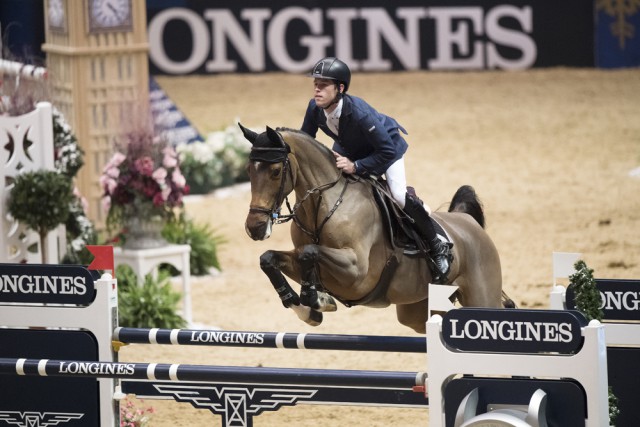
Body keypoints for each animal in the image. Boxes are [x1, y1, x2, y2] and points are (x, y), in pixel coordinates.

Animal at [238, 123, 508, 334]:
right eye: (248, 171)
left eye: (275, 172)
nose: (255, 227)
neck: (324, 204)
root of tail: (467, 220)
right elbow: (269, 258)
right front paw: (306, 308)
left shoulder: (356, 272)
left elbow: (309, 252)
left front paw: (314, 299)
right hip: (416, 308)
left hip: (480, 296)